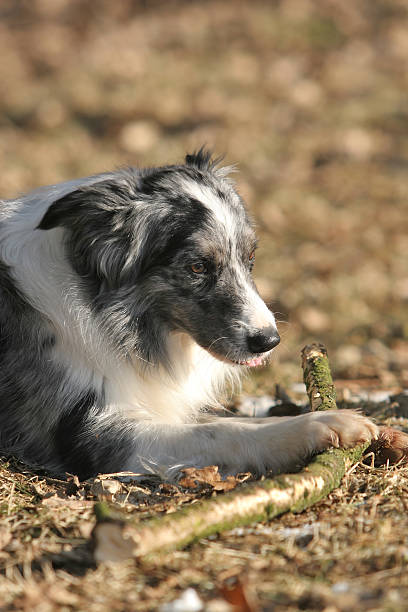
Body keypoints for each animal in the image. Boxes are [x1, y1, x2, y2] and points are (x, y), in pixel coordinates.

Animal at [0, 151, 378, 480]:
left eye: (250, 258)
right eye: (197, 266)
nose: (269, 341)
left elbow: (236, 422)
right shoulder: (96, 434)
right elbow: (225, 432)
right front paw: (323, 425)